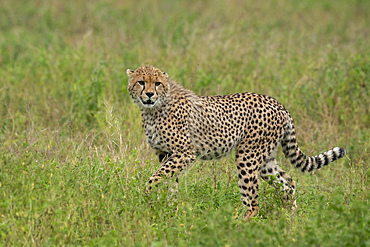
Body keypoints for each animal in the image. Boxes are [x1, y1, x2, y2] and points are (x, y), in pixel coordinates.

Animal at [127, 65, 346, 220]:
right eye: (141, 82)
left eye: (157, 83)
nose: (149, 94)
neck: (153, 109)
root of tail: (278, 103)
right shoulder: (166, 154)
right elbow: (169, 180)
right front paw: (167, 207)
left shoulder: (185, 152)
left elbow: (155, 178)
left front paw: (149, 197)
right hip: (265, 160)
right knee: (288, 183)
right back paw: (290, 216)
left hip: (247, 156)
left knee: (253, 201)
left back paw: (238, 224)